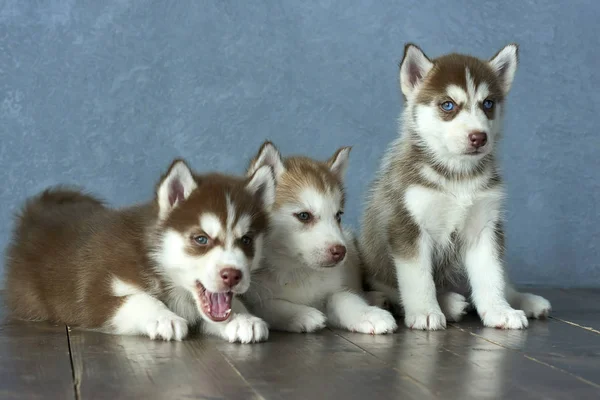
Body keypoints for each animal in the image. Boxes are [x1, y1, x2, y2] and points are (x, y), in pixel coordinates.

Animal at [4, 159, 276, 344]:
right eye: (201, 239)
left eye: (246, 240)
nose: (233, 275)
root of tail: (40, 211)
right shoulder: (94, 297)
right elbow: (140, 298)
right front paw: (163, 317)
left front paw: (242, 318)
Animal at [239, 141, 398, 334]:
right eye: (304, 216)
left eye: (338, 215)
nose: (340, 252)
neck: (297, 270)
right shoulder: (252, 296)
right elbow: (268, 305)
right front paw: (303, 314)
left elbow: (343, 297)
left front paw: (368, 314)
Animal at [358, 43, 552, 332]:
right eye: (448, 105)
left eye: (488, 104)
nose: (479, 137)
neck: (458, 177)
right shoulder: (407, 225)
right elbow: (418, 278)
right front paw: (426, 311)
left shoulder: (485, 226)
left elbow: (492, 276)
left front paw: (499, 311)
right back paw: (447, 303)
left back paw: (525, 300)